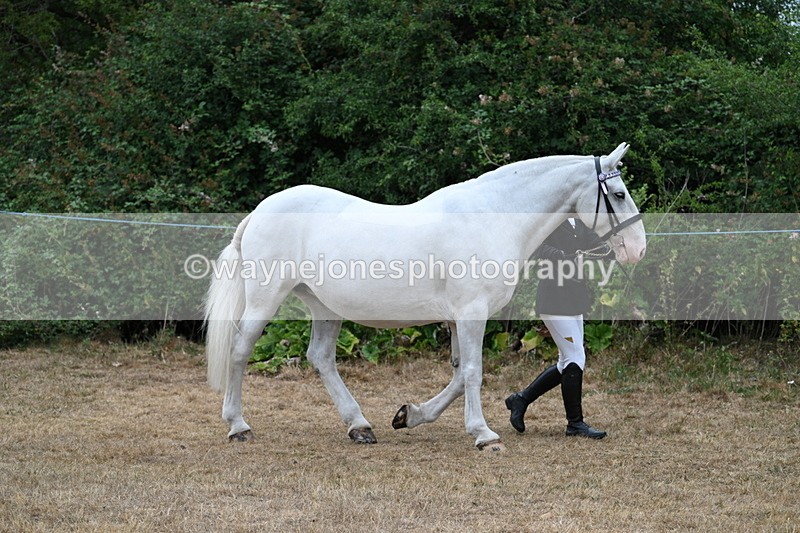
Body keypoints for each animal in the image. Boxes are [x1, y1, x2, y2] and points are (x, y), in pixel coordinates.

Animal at [205, 142, 646, 451]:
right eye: (618, 194)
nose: (637, 249)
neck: (490, 218)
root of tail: (259, 211)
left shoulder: (458, 318)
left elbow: (458, 375)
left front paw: (410, 415)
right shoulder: (471, 313)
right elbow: (473, 372)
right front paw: (484, 434)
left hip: (324, 306)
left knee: (321, 359)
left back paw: (360, 427)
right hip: (265, 299)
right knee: (240, 351)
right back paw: (238, 426)